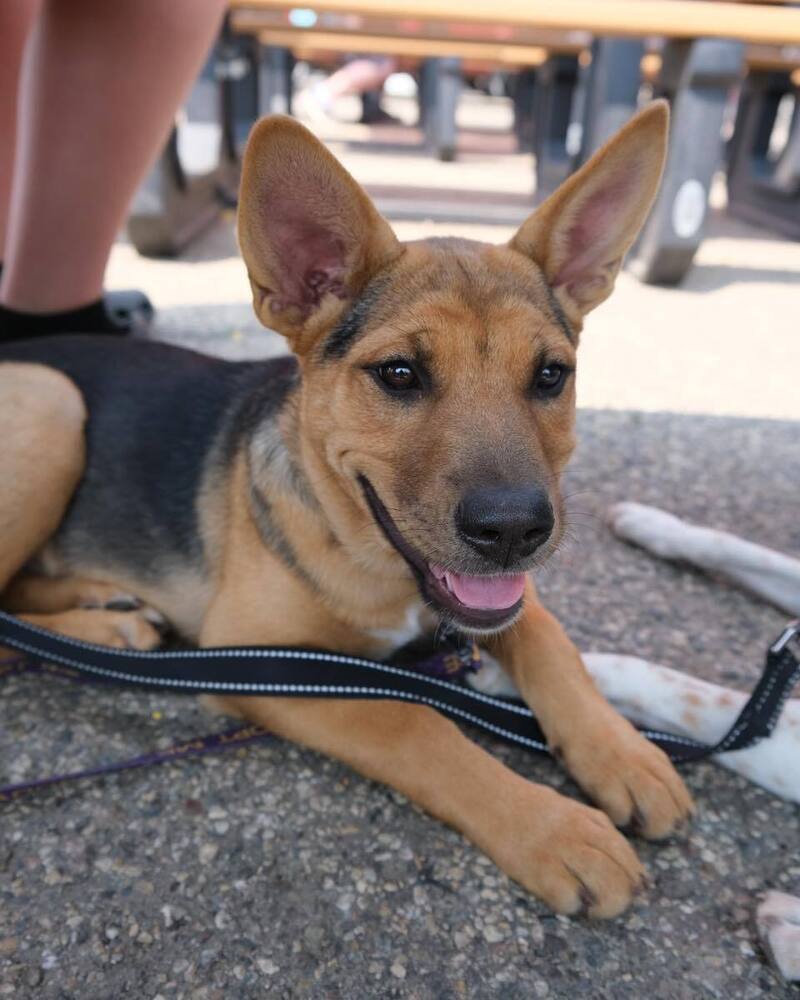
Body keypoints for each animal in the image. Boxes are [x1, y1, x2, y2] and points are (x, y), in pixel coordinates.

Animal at [0, 103, 692, 920]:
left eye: (552, 375)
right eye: (398, 374)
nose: (516, 530)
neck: (375, 562)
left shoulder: (501, 601)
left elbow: (552, 644)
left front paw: (624, 754)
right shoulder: (257, 657)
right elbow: (414, 723)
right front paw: (555, 830)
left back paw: (104, 605)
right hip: (51, 401)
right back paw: (105, 627)